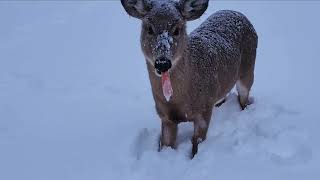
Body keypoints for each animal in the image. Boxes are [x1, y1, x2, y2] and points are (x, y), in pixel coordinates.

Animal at [121, 0, 258, 158]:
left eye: (177, 30)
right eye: (149, 29)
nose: (162, 63)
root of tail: (236, 13)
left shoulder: (204, 110)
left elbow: (196, 142)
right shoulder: (165, 116)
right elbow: (166, 144)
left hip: (248, 70)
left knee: (243, 99)